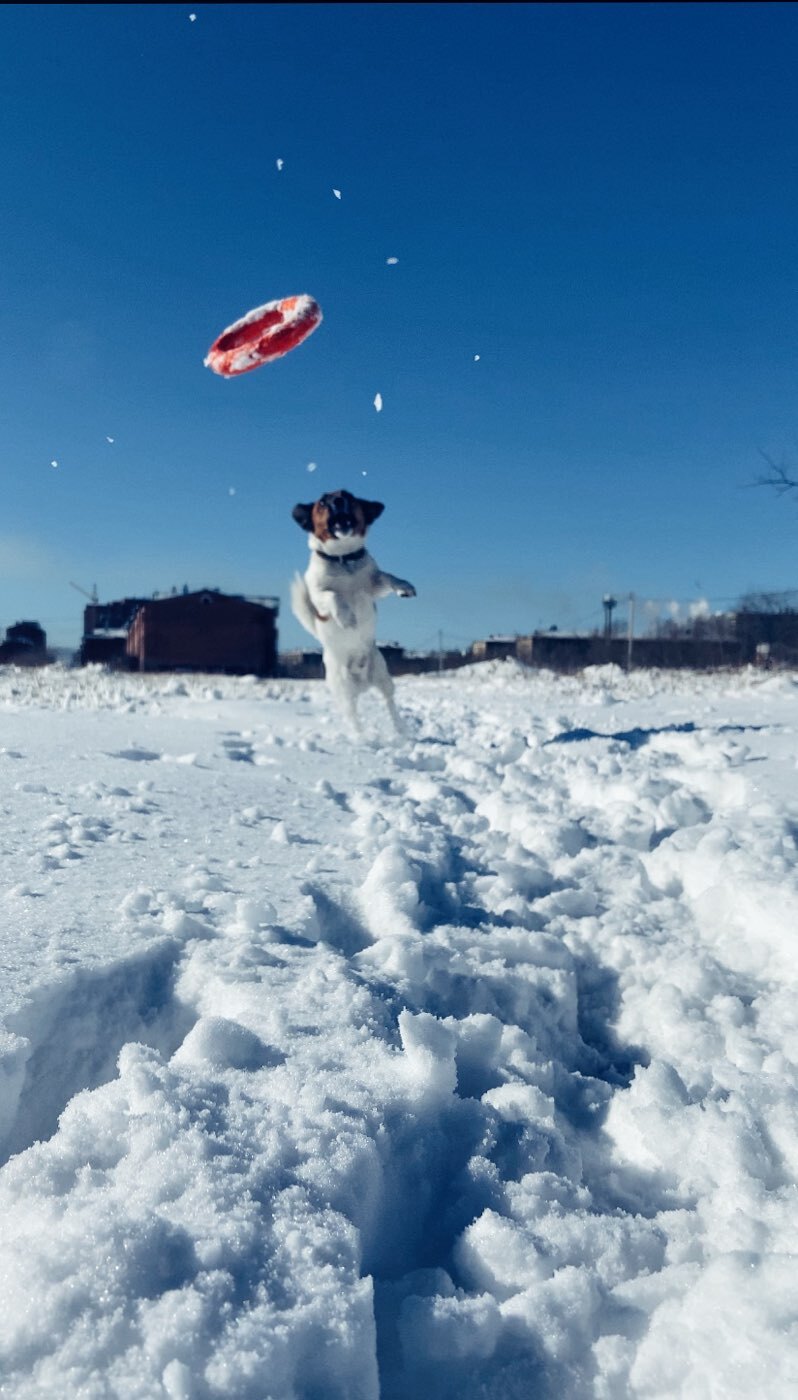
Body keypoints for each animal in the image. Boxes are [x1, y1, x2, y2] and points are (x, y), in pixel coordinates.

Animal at [289, 492, 417, 733]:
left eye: (347, 495)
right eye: (322, 502)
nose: (337, 502)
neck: (343, 559)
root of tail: (362, 681)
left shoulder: (373, 585)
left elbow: (388, 576)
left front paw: (404, 587)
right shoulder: (318, 595)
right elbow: (333, 596)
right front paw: (346, 617)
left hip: (382, 675)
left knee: (389, 702)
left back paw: (400, 729)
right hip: (344, 689)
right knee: (353, 717)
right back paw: (360, 736)